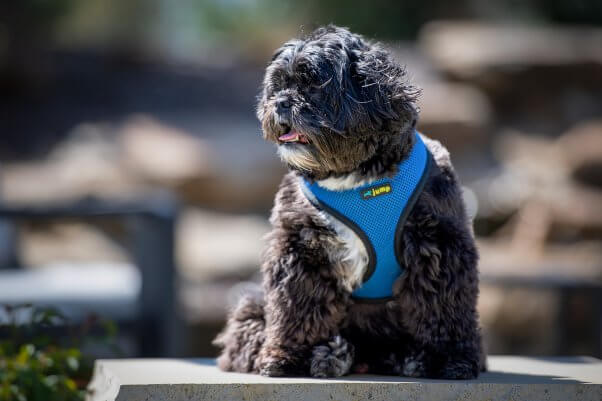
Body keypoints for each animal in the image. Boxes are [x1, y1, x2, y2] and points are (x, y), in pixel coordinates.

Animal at [211, 25, 482, 378]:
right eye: (278, 86)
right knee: (247, 335)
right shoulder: (300, 251)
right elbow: (295, 308)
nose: (280, 102)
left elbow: (445, 309)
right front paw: (287, 357)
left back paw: (410, 357)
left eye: (314, 85)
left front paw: (452, 361)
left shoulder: (441, 246)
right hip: (254, 301)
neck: (354, 176)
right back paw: (330, 354)